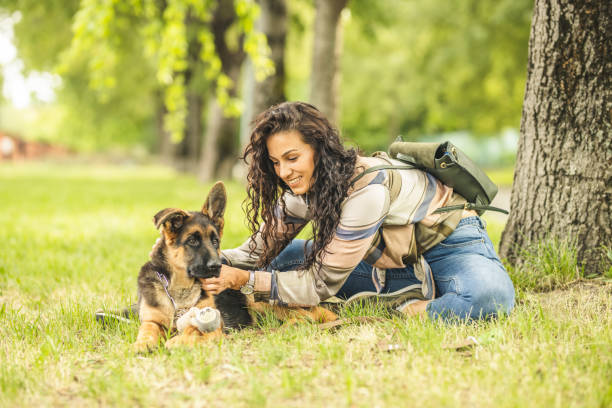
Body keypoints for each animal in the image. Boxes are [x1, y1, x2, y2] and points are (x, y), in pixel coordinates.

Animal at [133, 181, 340, 350]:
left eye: (215, 242)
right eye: (192, 241)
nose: (217, 267)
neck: (181, 290)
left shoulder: (213, 323)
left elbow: (195, 330)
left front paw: (180, 340)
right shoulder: (151, 319)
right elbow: (147, 329)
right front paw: (143, 343)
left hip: (256, 298)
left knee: (309, 315)